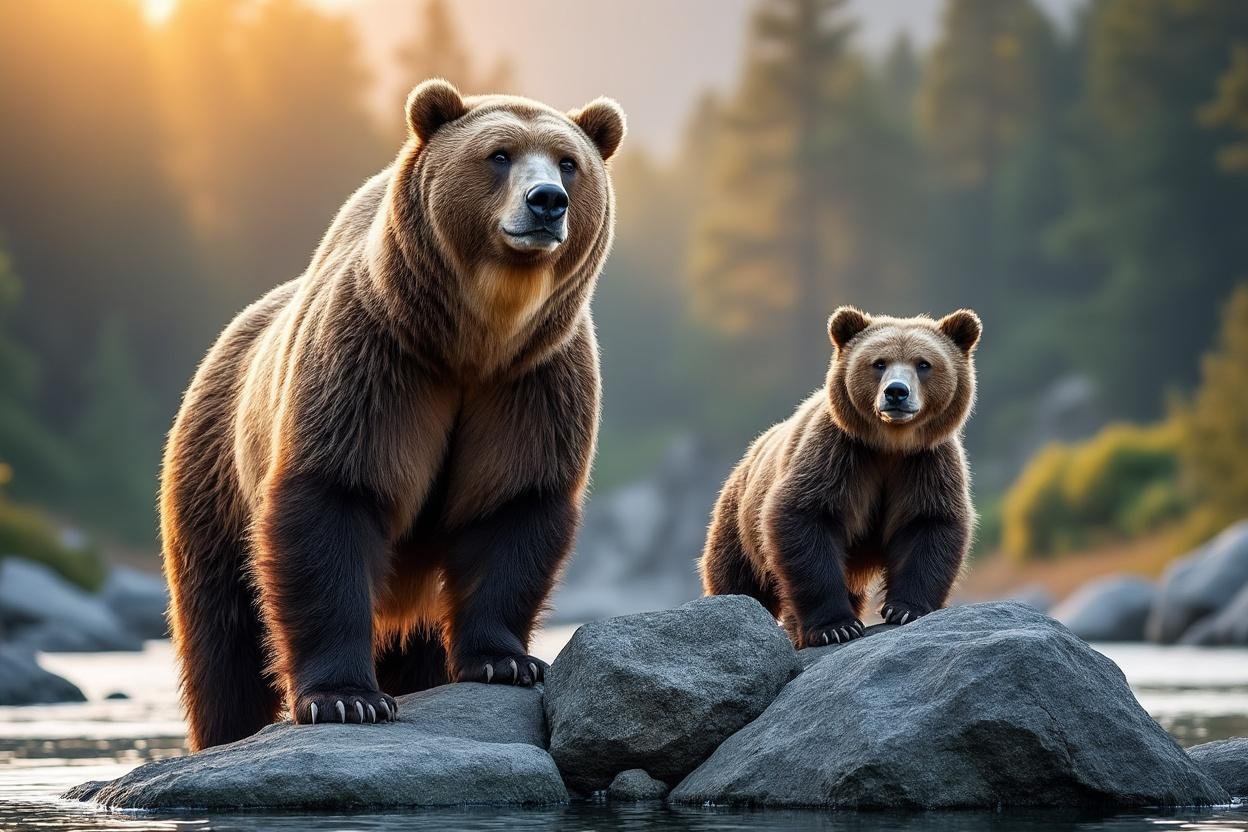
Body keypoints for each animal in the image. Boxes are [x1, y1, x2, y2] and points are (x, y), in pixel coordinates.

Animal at [160, 79, 626, 751]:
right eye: (500, 154)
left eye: (569, 162)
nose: (547, 202)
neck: (476, 337)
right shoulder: (379, 363)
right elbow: (335, 497)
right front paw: (345, 698)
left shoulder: (532, 383)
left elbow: (513, 507)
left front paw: (507, 661)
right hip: (215, 476)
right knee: (223, 636)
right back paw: (225, 730)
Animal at [699, 306, 981, 647]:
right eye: (879, 363)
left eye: (923, 364)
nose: (896, 392)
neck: (891, 444)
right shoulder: (839, 456)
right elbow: (806, 518)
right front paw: (836, 626)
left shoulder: (925, 464)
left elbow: (929, 525)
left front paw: (905, 610)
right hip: (739, 522)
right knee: (738, 579)